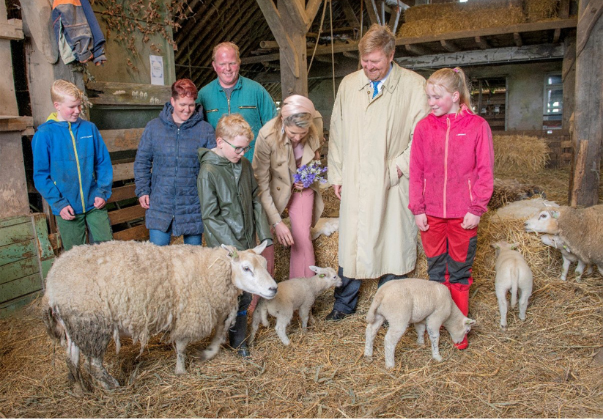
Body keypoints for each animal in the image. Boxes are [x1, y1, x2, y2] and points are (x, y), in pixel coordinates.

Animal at [42, 241, 278, 392]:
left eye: (265, 265)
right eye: (246, 268)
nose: (273, 289)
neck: (207, 270)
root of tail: (51, 280)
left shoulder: (212, 307)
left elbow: (220, 332)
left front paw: (209, 352)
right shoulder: (189, 315)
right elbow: (181, 346)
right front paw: (181, 370)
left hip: (75, 323)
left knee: (72, 357)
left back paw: (80, 388)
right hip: (92, 323)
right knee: (93, 363)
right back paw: (111, 386)